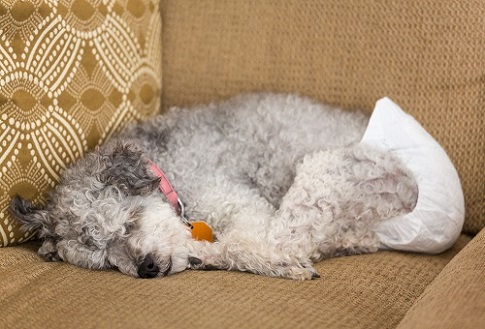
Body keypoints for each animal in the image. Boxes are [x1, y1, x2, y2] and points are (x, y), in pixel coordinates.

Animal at [10, 93, 416, 280]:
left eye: (129, 223)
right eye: (104, 260)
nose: (146, 268)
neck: (171, 172)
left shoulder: (238, 202)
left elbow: (240, 244)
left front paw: (282, 261)